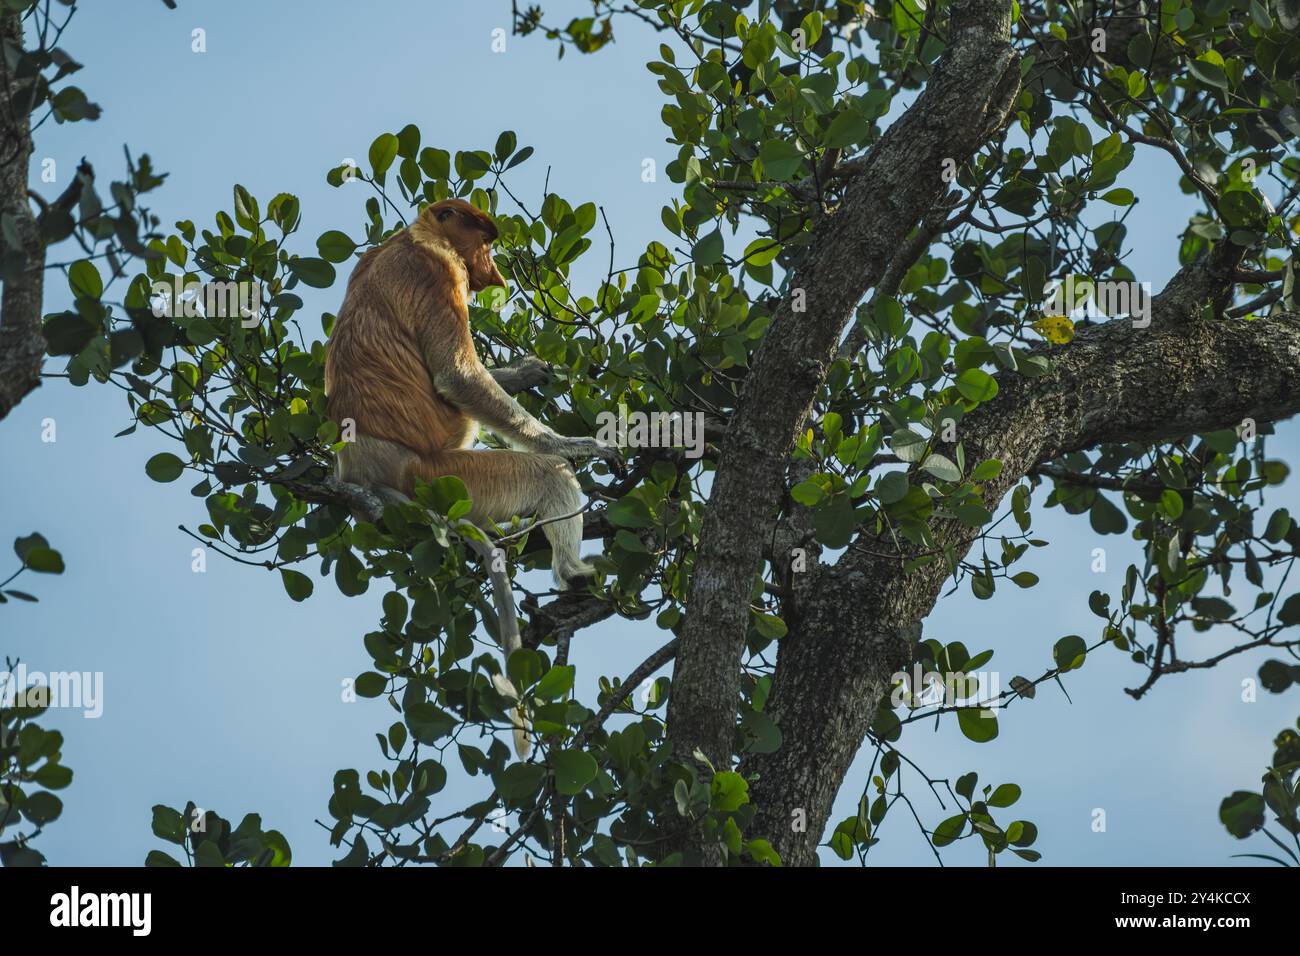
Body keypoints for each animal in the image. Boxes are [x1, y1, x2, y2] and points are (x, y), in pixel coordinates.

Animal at [323, 197, 621, 591]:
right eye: (485, 243)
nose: (493, 271)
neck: (414, 236)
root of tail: (360, 471)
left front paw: (524, 372)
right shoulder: (437, 271)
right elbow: (457, 376)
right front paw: (576, 445)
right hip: (438, 478)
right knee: (550, 475)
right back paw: (574, 572)